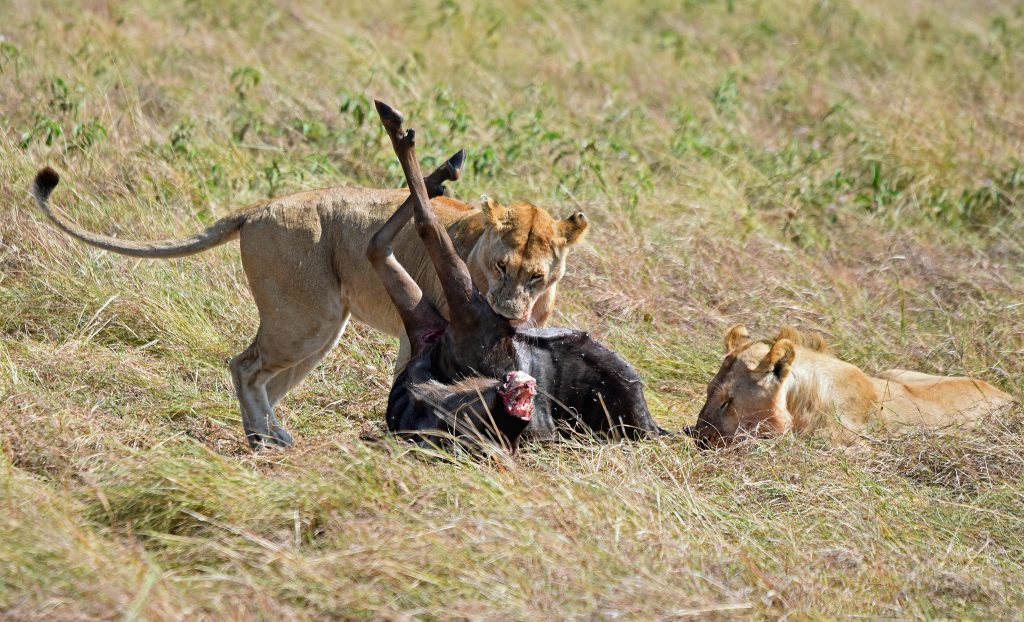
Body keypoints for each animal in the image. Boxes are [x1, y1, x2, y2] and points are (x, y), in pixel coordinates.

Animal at [30, 164, 588, 448]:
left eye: (536, 276)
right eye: (500, 266)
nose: (510, 311)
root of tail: (262, 207)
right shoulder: (422, 334)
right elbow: (415, 381)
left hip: (319, 329)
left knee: (263, 381)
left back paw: (271, 435)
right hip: (306, 320)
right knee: (244, 365)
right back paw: (264, 438)